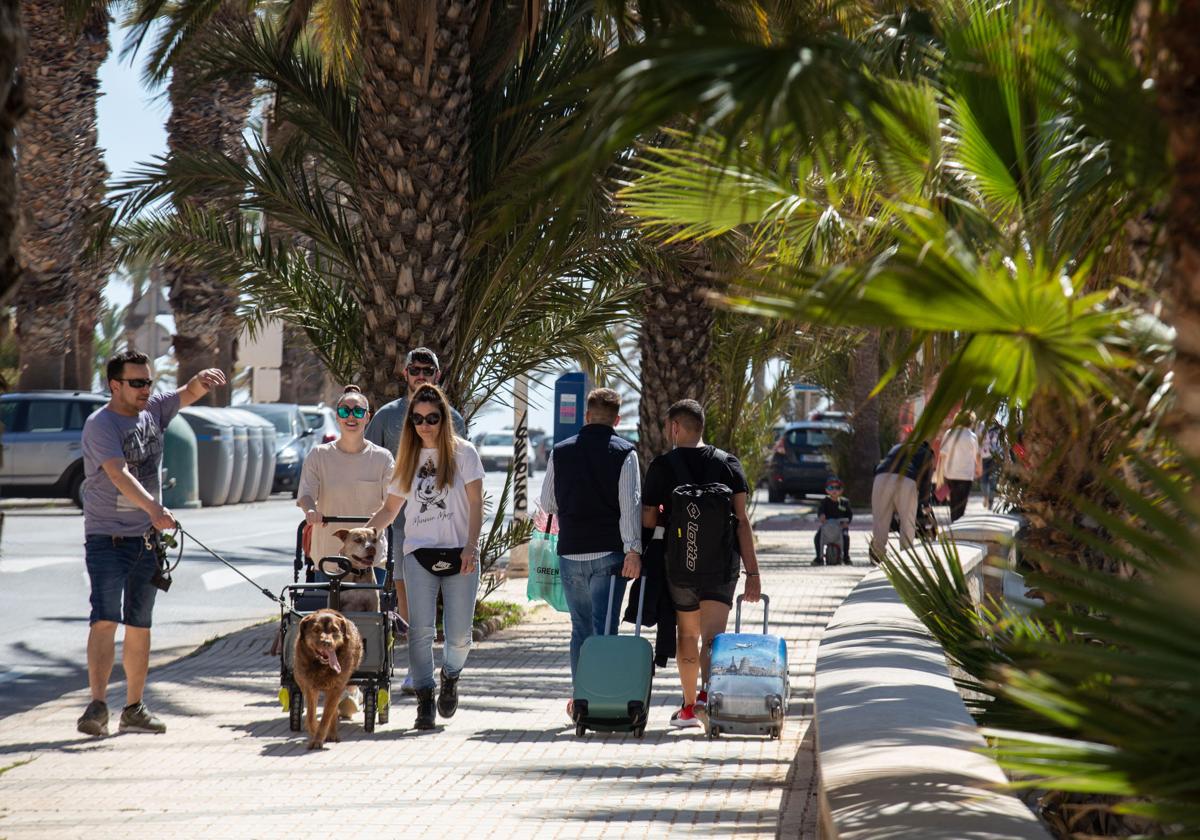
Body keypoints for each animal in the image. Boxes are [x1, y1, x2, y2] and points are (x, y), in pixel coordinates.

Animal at [294, 607, 362, 753]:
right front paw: (314, 732)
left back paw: (332, 734)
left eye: (334, 630)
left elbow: (326, 717)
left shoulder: (336, 688)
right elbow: (311, 717)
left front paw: (319, 739)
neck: (322, 666)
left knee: (333, 711)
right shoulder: (310, 687)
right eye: (316, 630)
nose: (327, 642)